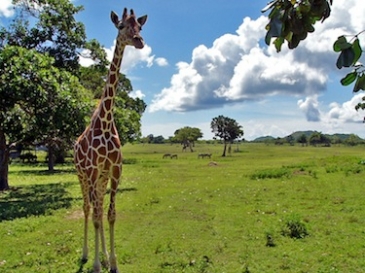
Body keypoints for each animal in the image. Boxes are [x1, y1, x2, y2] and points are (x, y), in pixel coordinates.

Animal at [73, 7, 147, 272]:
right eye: (121, 26)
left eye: (140, 26)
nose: (139, 41)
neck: (105, 123)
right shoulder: (93, 170)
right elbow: (95, 216)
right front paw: (96, 264)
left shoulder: (114, 170)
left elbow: (110, 214)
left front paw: (112, 262)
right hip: (82, 175)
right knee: (87, 208)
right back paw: (86, 254)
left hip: (100, 179)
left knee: (99, 207)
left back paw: (103, 255)